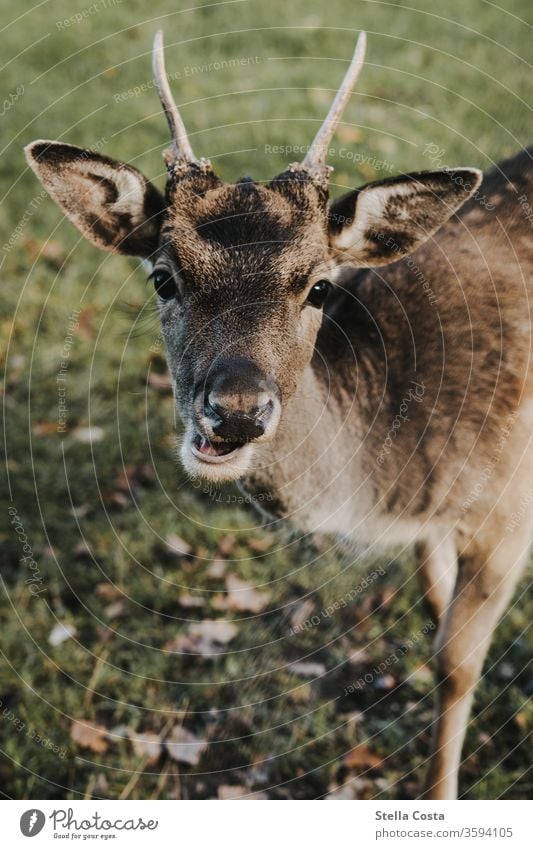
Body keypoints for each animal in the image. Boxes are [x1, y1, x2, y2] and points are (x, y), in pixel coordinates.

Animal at [26, 29, 532, 800]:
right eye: (163, 276)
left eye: (319, 285)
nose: (235, 413)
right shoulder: (435, 527)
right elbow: (432, 610)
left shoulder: (507, 507)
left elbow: (456, 662)